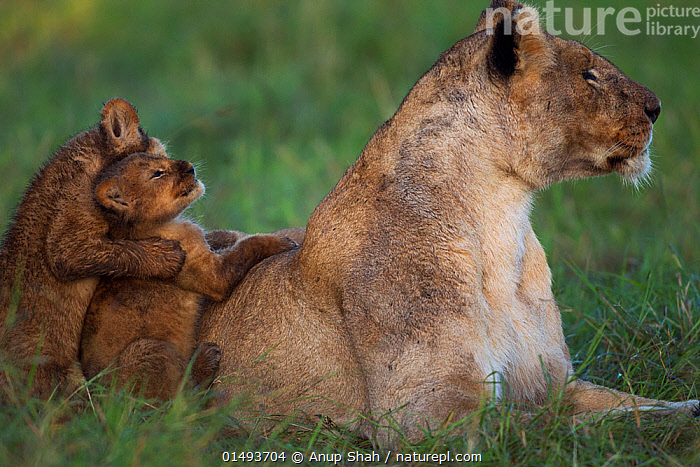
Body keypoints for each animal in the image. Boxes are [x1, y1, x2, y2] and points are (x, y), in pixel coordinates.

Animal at [80, 153, 297, 400]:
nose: (191, 167)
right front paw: (281, 241)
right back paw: (206, 359)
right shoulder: (211, 274)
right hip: (149, 349)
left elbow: (219, 235)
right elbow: (245, 248)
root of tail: (99, 399)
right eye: (157, 173)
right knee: (179, 400)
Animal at [198, 0, 698, 445]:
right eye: (588, 75)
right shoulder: (426, 413)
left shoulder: (555, 385)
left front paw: (683, 409)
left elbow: (630, 405)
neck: (502, 222)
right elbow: (565, 425)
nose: (657, 107)